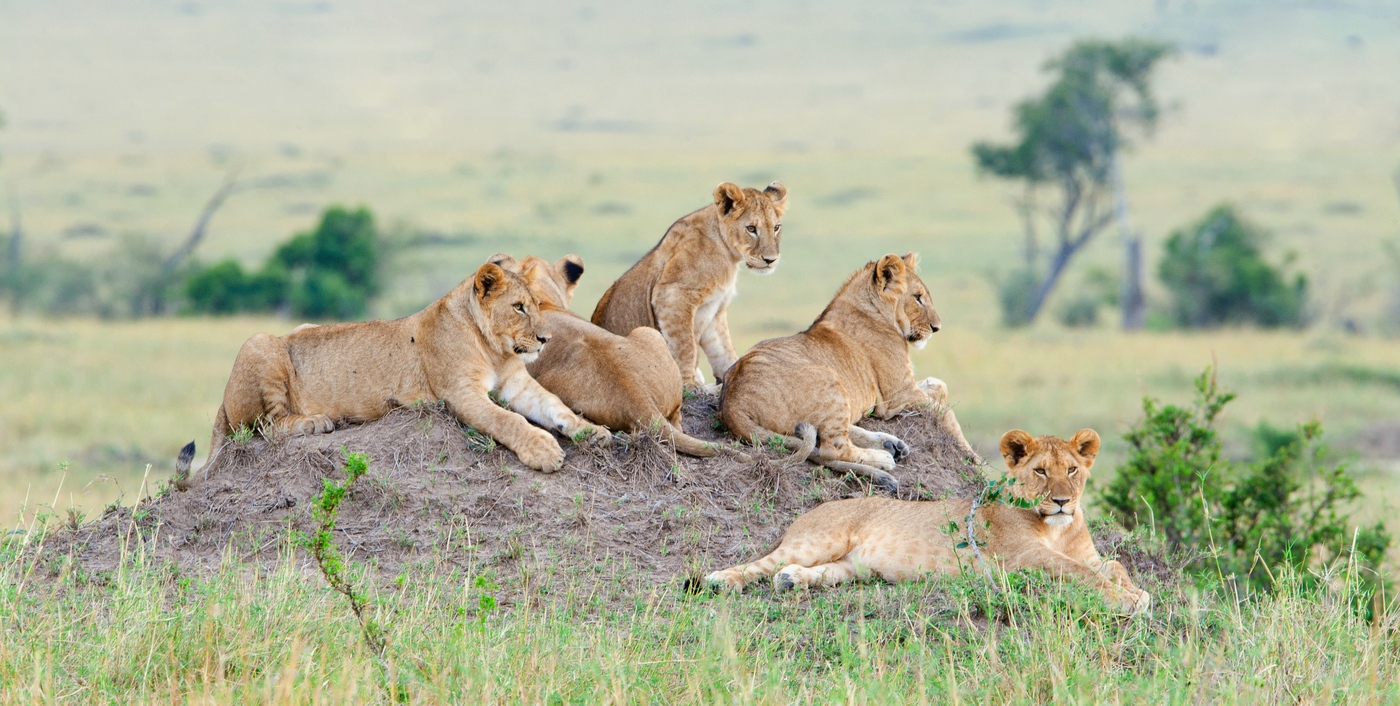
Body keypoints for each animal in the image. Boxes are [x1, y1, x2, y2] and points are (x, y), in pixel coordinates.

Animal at [194, 260, 610, 473]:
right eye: (519, 307)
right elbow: (507, 420)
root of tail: (222, 403)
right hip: (259, 342)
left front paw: (593, 432)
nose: (545, 339)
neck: (495, 349)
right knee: (262, 428)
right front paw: (543, 451)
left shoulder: (516, 384)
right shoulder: (460, 393)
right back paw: (316, 422)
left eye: (538, 305)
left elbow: (556, 407)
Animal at [590, 179, 789, 392]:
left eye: (776, 227)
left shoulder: (715, 311)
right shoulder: (672, 295)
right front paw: (689, 384)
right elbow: (685, 345)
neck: (727, 253)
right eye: (751, 229)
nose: (770, 260)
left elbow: (723, 350)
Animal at [705, 428, 1153, 616]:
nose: (1062, 501)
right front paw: (1127, 600)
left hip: (851, 568)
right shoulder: (1024, 557)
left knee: (809, 571)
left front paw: (1136, 591)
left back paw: (791, 580)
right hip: (818, 540)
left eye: (1073, 469)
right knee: (759, 564)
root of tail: (814, 509)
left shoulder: (1085, 554)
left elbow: (1113, 564)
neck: (1056, 528)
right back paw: (720, 580)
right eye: (1041, 471)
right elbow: (1080, 572)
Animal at [716, 252, 968, 490]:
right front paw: (971, 457)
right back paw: (883, 457)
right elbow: (947, 413)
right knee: (832, 449)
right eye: (917, 298)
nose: (936, 328)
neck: (873, 310)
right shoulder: (899, 394)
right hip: (830, 378)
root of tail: (731, 404)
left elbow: (939, 385)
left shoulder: (904, 389)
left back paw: (891, 444)